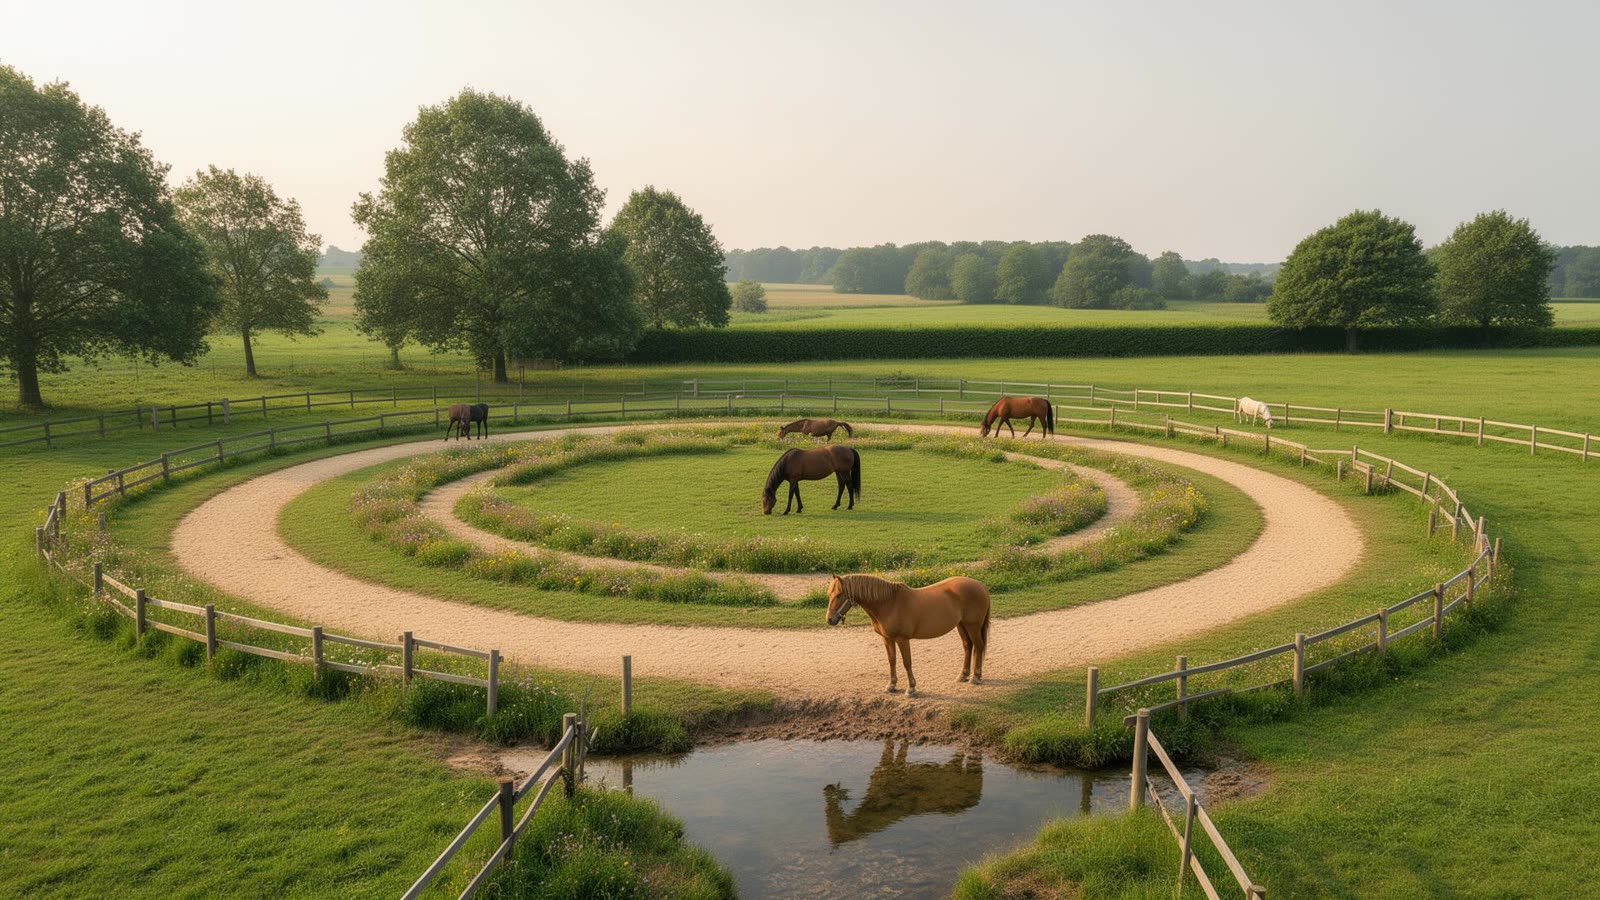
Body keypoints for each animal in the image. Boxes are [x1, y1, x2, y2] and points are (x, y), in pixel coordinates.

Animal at [825, 573, 991, 696]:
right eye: (829, 594)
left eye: (839, 595)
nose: (829, 619)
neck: (889, 603)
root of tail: (980, 585)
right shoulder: (887, 639)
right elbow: (892, 660)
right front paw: (891, 685)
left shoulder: (902, 639)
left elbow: (907, 662)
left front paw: (911, 688)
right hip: (961, 625)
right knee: (968, 646)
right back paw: (963, 675)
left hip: (973, 626)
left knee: (978, 646)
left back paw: (976, 677)